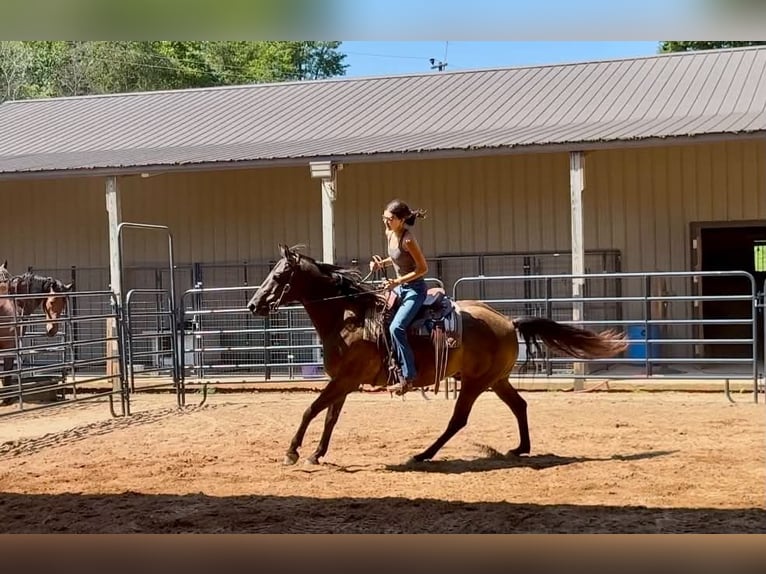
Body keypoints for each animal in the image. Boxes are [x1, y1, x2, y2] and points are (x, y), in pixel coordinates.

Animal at [247, 244, 628, 465]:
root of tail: (508, 320)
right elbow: (329, 417)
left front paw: (292, 452)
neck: (347, 316)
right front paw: (316, 454)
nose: (252, 305)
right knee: (519, 405)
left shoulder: (345, 380)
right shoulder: (343, 381)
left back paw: (423, 454)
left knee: (458, 420)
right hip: (494, 380)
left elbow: (311, 410)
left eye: (279, 275)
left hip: (475, 383)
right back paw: (520, 449)